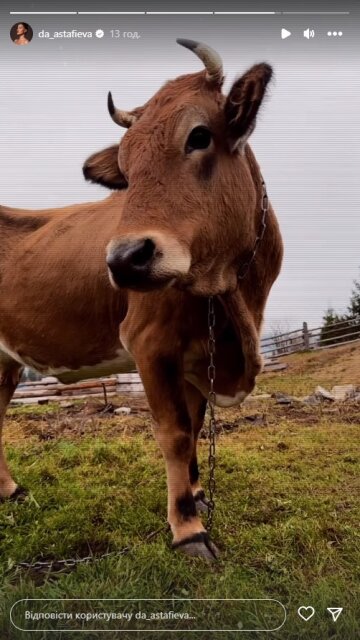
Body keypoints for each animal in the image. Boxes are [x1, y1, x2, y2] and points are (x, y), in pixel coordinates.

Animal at [0, 41, 282, 560]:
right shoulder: (150, 345)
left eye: (199, 135)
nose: (125, 259)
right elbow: (174, 434)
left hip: (5, 361)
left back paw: (11, 489)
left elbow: (195, 426)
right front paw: (188, 528)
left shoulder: (196, 358)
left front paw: (196, 493)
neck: (234, 298)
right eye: (126, 171)